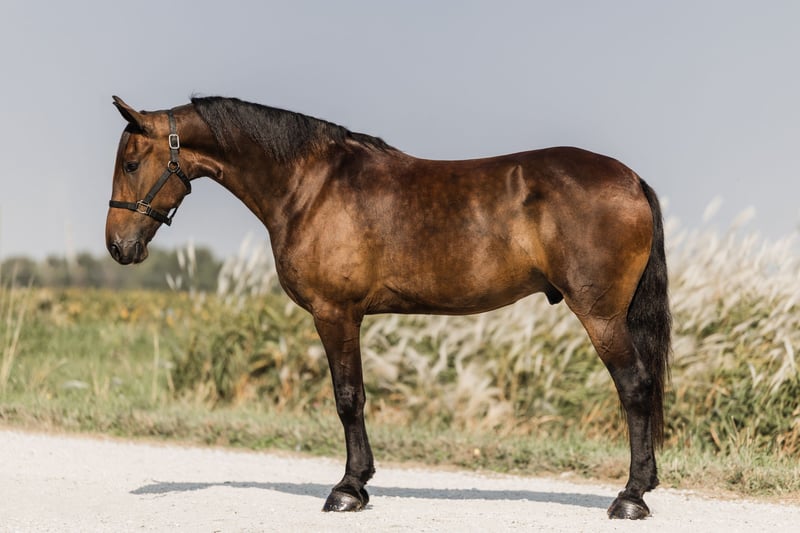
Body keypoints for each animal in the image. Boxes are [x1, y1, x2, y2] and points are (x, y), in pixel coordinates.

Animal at [105, 96, 671, 520]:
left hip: (601, 316)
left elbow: (348, 399)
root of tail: (631, 179)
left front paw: (348, 489)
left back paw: (630, 497)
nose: (117, 246)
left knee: (635, 388)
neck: (311, 185)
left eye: (131, 163)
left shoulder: (335, 314)